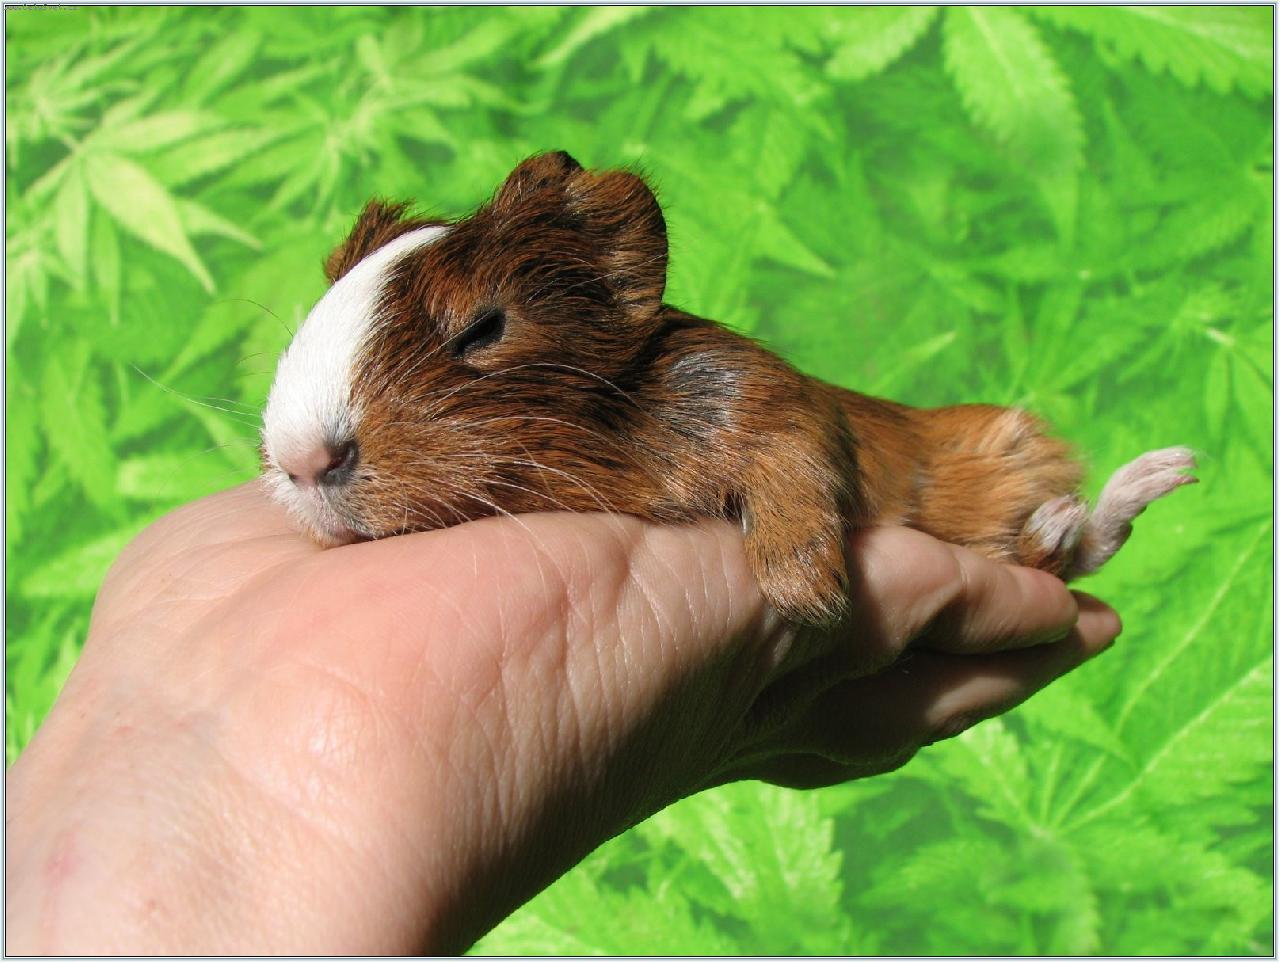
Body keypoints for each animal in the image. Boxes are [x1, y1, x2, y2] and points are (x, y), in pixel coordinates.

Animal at [261, 151, 1196, 626]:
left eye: (484, 328)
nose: (302, 459)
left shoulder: (774, 407)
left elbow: (795, 474)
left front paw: (809, 602)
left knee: (1089, 542)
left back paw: (1158, 473)